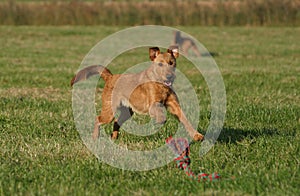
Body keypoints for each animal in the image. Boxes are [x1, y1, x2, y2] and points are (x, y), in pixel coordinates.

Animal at [69, 46, 204, 141]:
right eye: (160, 64)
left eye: (172, 63)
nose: (169, 76)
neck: (161, 85)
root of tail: (110, 77)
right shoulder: (152, 104)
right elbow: (160, 112)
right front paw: (160, 119)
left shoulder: (174, 105)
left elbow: (185, 120)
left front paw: (197, 136)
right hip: (110, 110)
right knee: (98, 119)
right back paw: (95, 137)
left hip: (127, 112)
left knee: (116, 122)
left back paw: (114, 138)